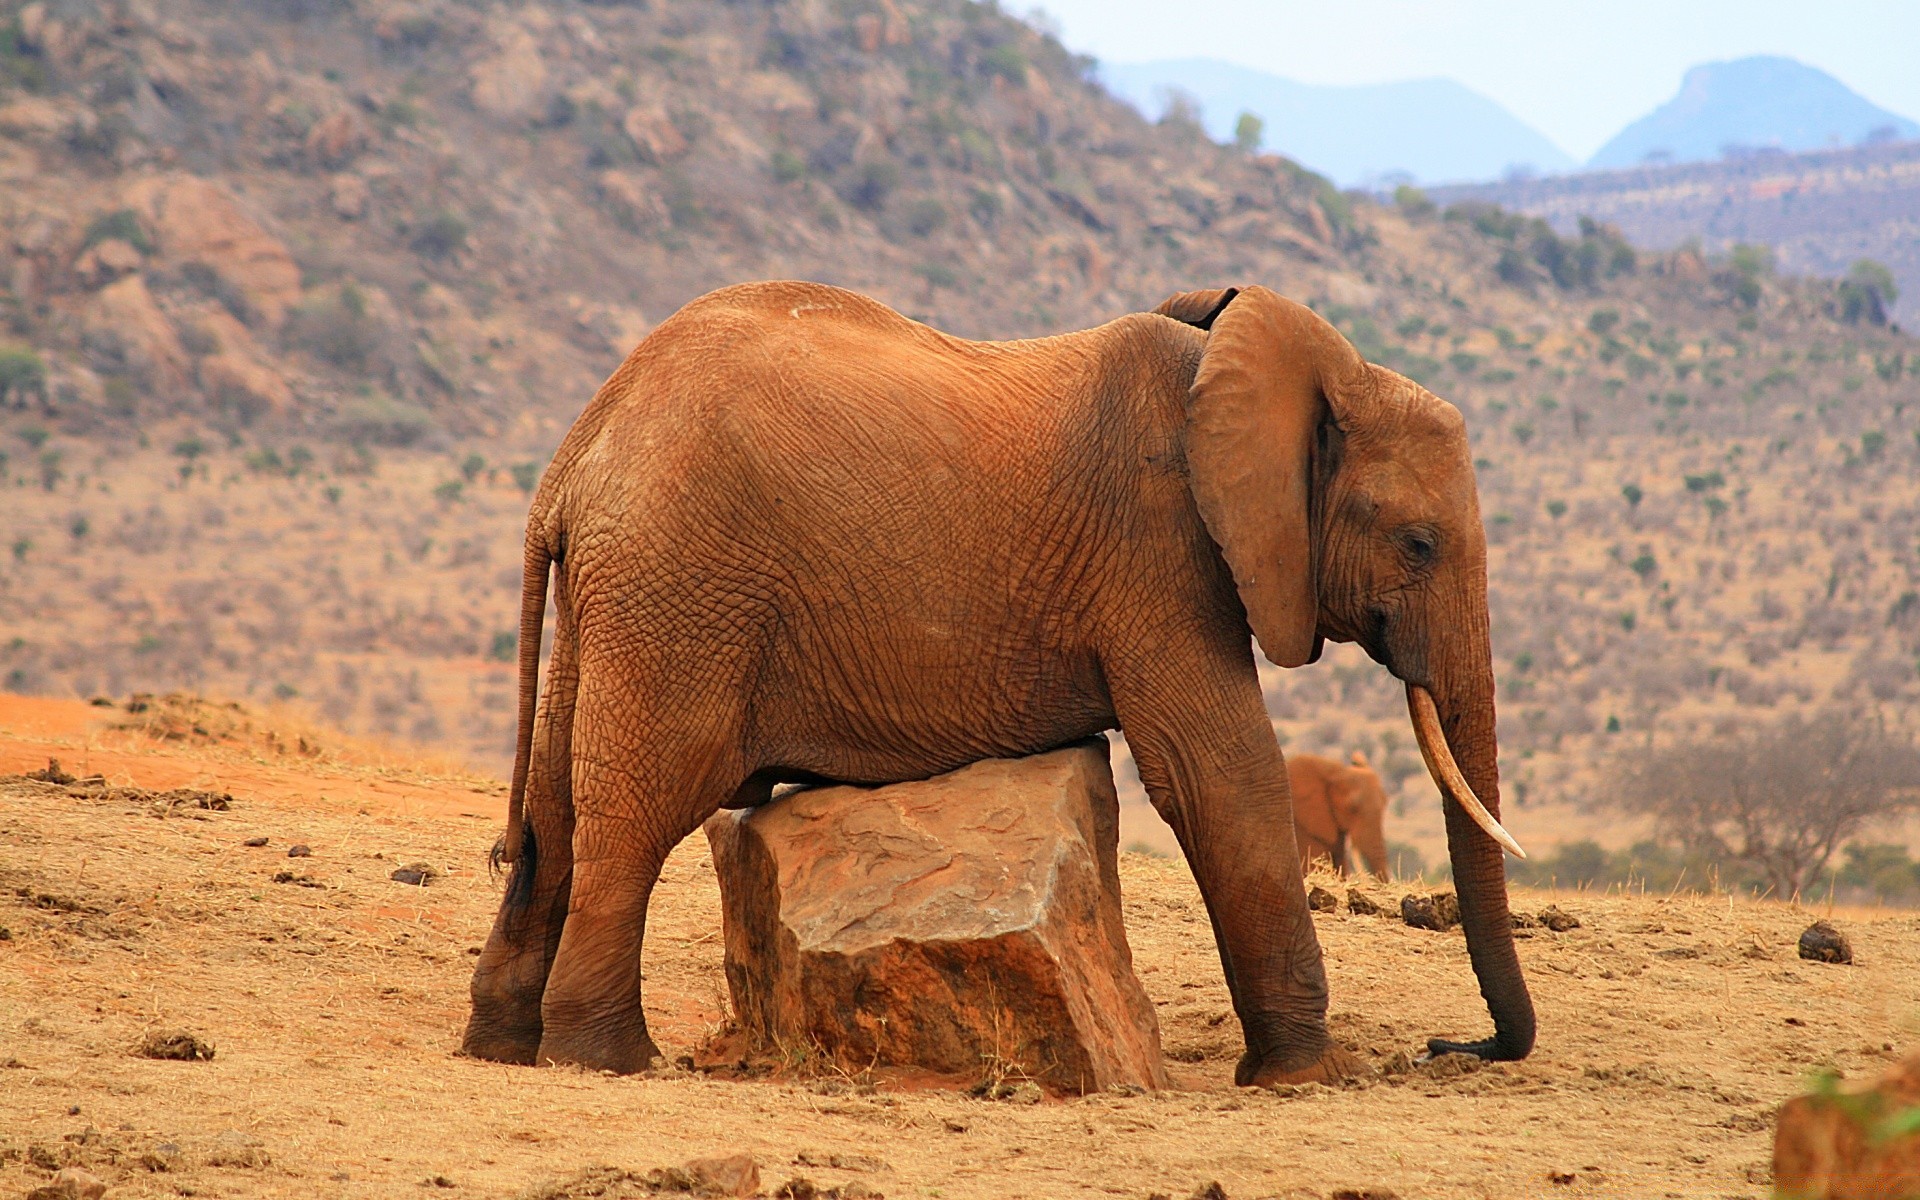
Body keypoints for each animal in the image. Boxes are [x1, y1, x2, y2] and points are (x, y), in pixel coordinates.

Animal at [464, 276, 1528, 1082]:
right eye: (1419, 544)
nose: (1453, 1046)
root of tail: (575, 456)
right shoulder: (1159, 554)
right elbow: (1218, 778)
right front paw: (1309, 1076)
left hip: (617, 598)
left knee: (554, 815)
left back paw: (501, 1047)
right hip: (678, 588)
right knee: (635, 813)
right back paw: (610, 1060)